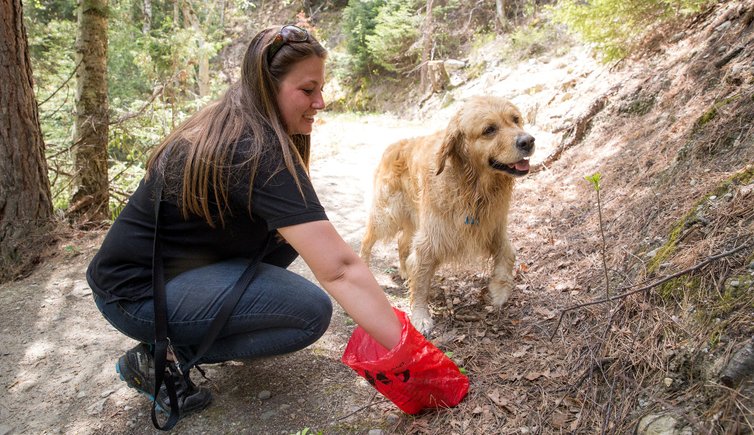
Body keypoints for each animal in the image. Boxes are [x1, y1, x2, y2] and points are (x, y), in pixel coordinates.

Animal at [360, 96, 532, 334]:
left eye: (515, 120)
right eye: (489, 129)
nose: (529, 141)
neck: (472, 187)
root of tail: (393, 145)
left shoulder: (493, 227)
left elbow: (508, 253)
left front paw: (499, 290)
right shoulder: (430, 238)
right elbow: (420, 280)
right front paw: (420, 316)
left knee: (403, 242)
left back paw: (403, 270)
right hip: (388, 214)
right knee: (367, 240)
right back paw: (365, 265)